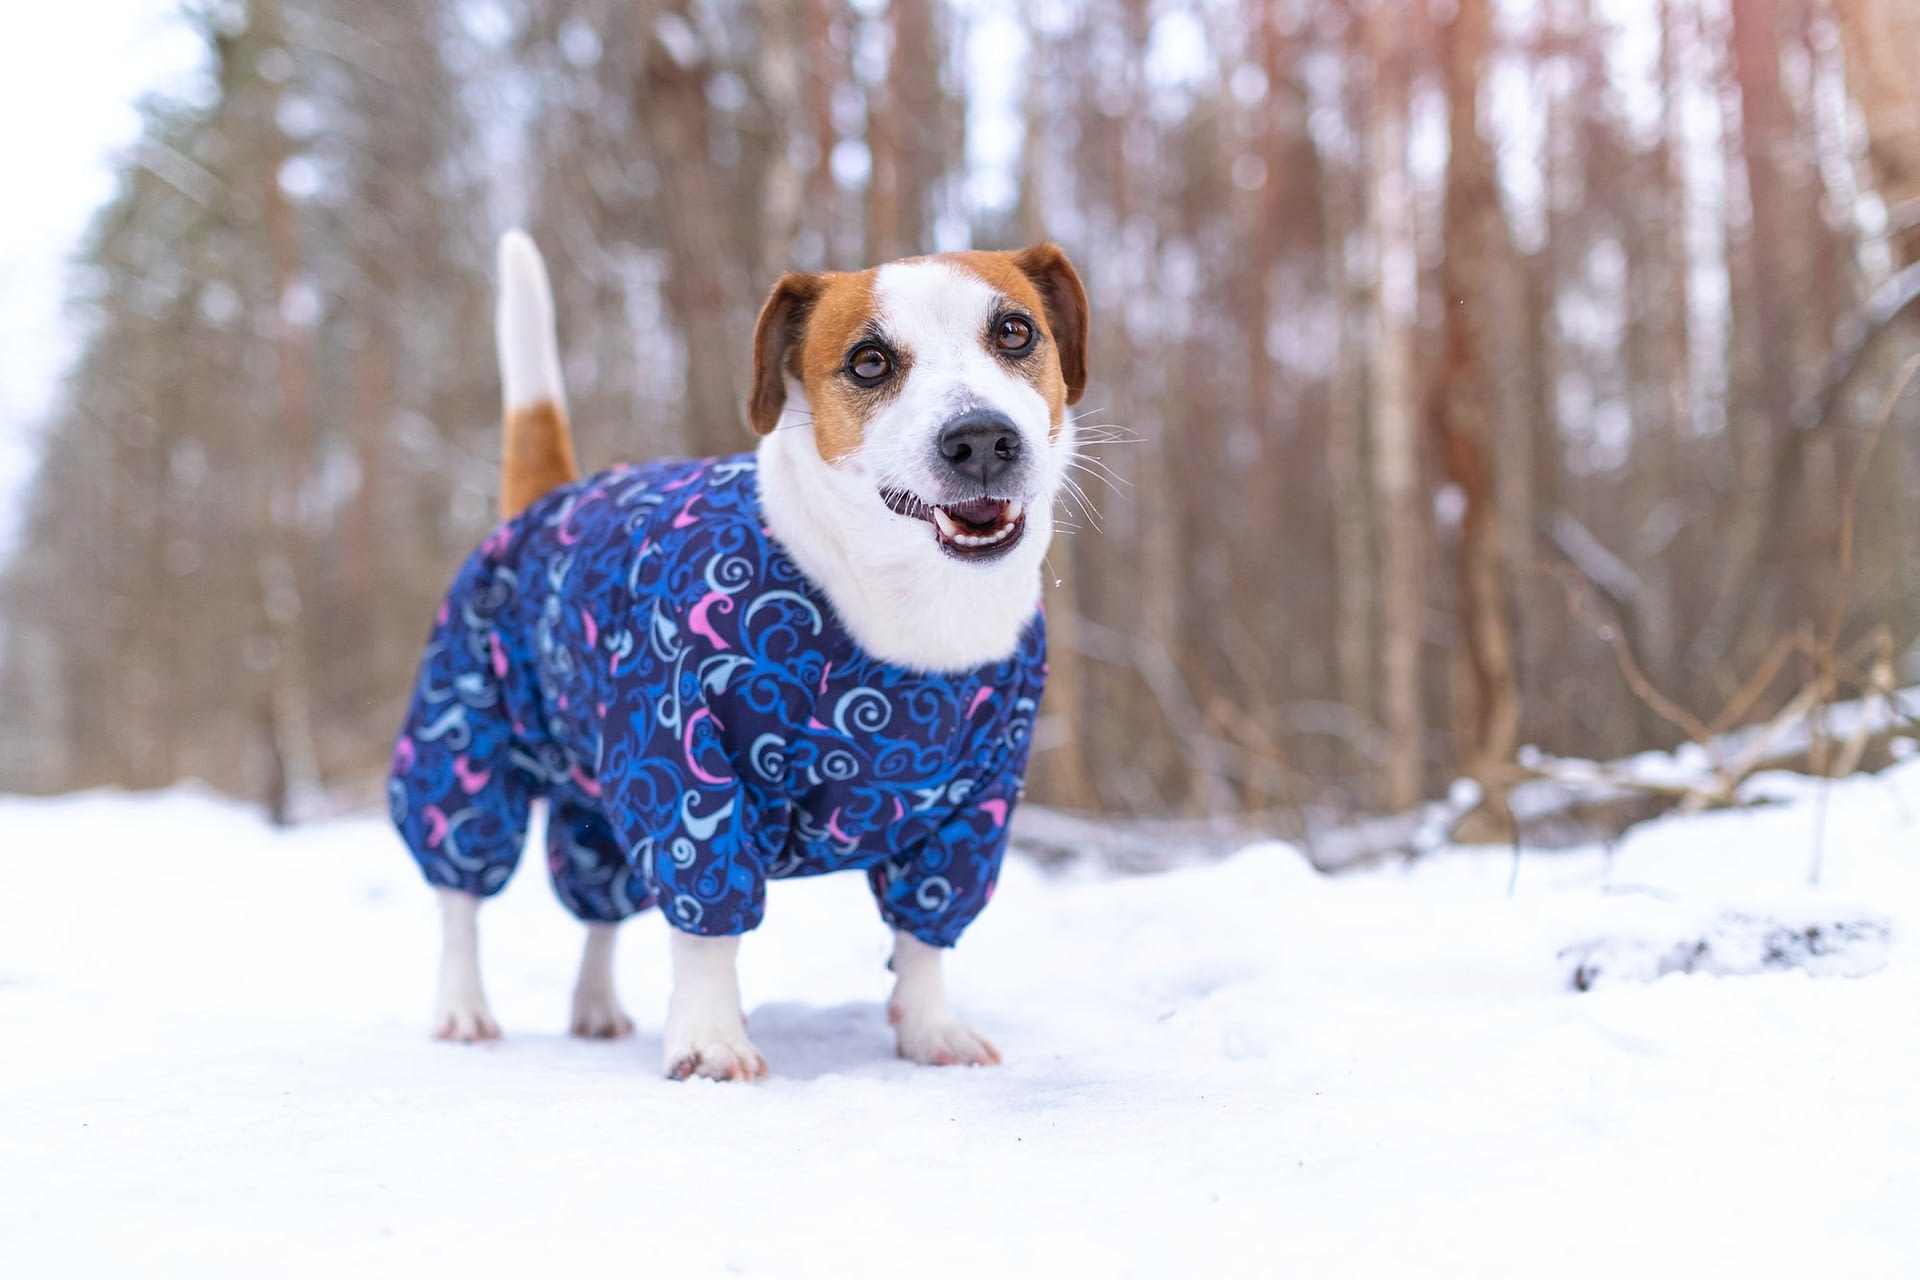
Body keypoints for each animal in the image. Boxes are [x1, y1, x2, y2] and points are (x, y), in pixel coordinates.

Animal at [382, 233, 1090, 1082]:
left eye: (1016, 332)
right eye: (870, 361)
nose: (981, 437)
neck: (910, 610)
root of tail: (544, 504)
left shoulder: (973, 806)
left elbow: (923, 931)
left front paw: (930, 1029)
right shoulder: (682, 766)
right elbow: (705, 917)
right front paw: (711, 1037)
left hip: (590, 792)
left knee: (598, 902)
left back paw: (594, 1005)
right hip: (467, 743)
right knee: (461, 897)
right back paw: (463, 1007)